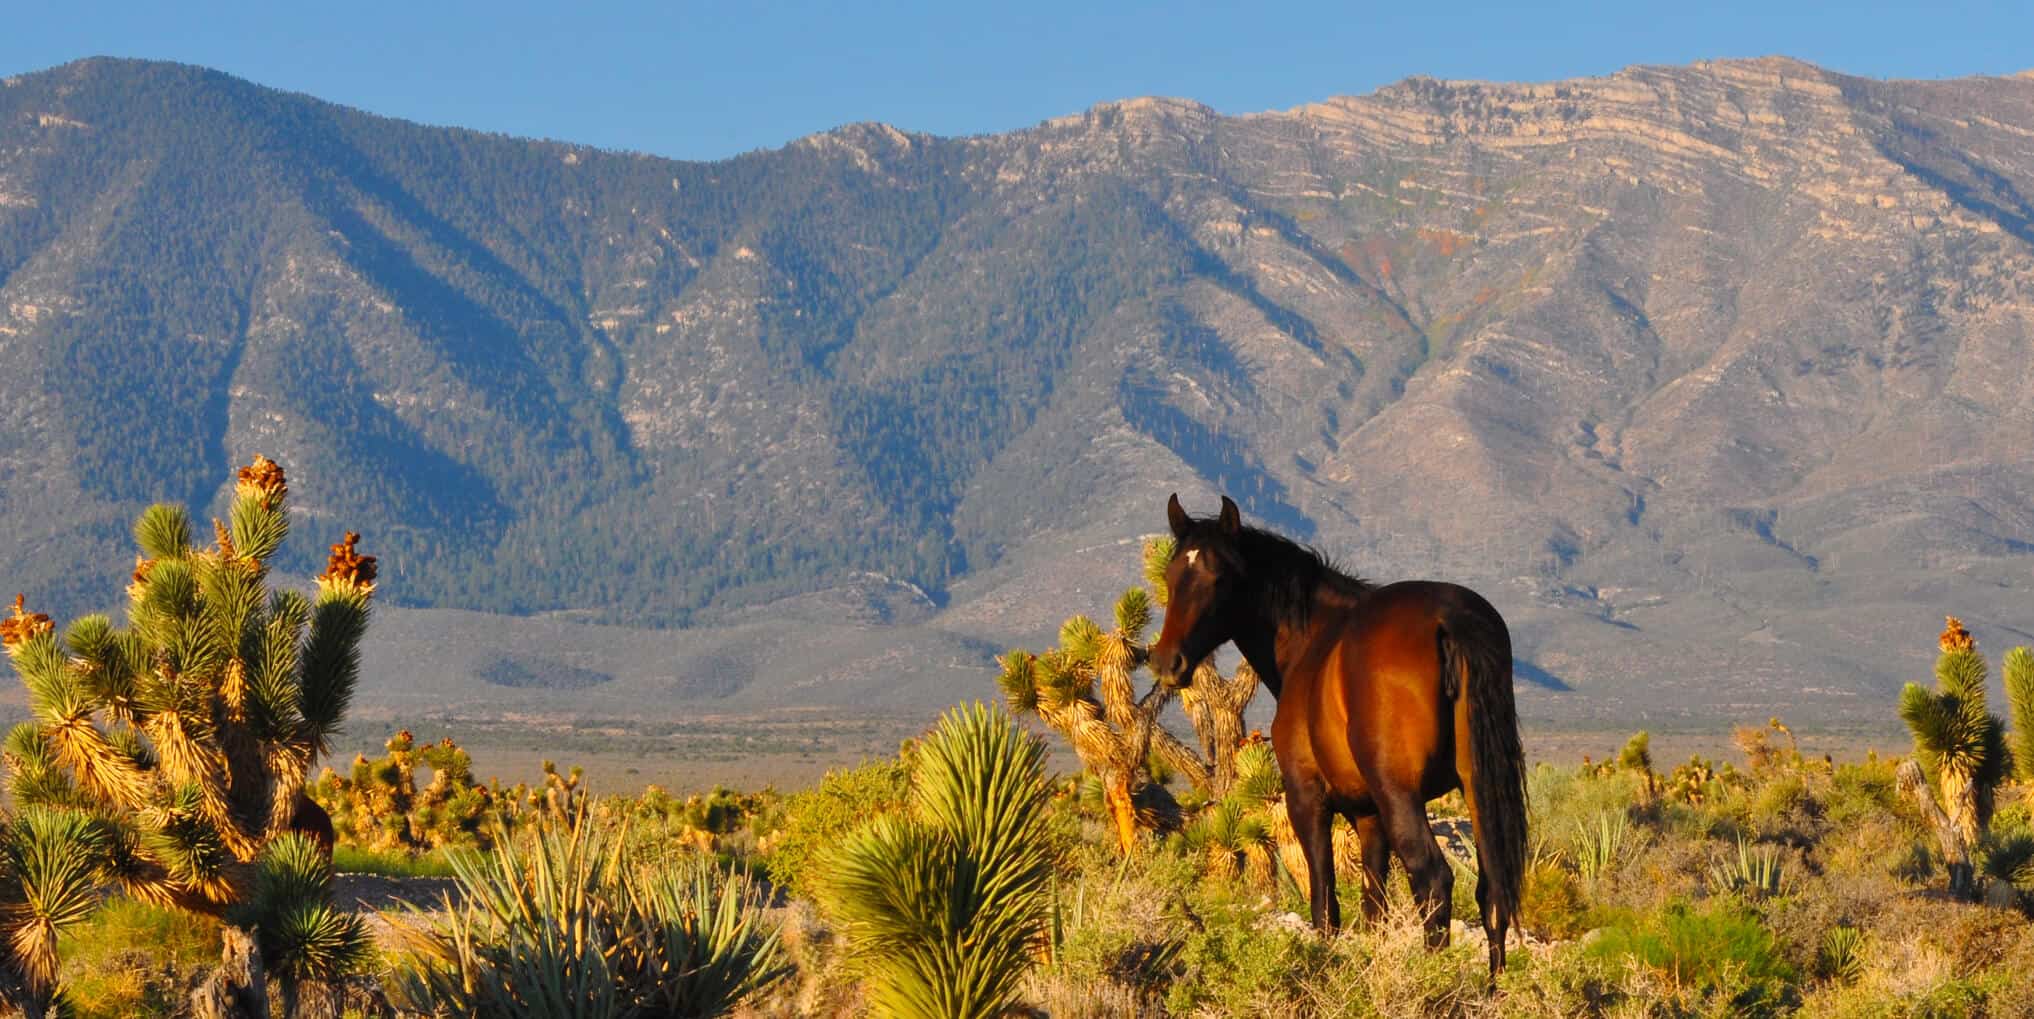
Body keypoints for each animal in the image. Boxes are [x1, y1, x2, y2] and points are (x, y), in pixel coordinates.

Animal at [1147, 494, 1526, 980]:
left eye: (1220, 577)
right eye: (1171, 576)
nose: (1167, 662)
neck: (1312, 639)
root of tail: (1449, 619)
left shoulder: (1306, 798)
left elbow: (1324, 904)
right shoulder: (1369, 816)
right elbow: (1374, 908)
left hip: (1401, 795)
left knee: (1433, 880)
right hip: (1477, 788)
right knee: (1492, 891)